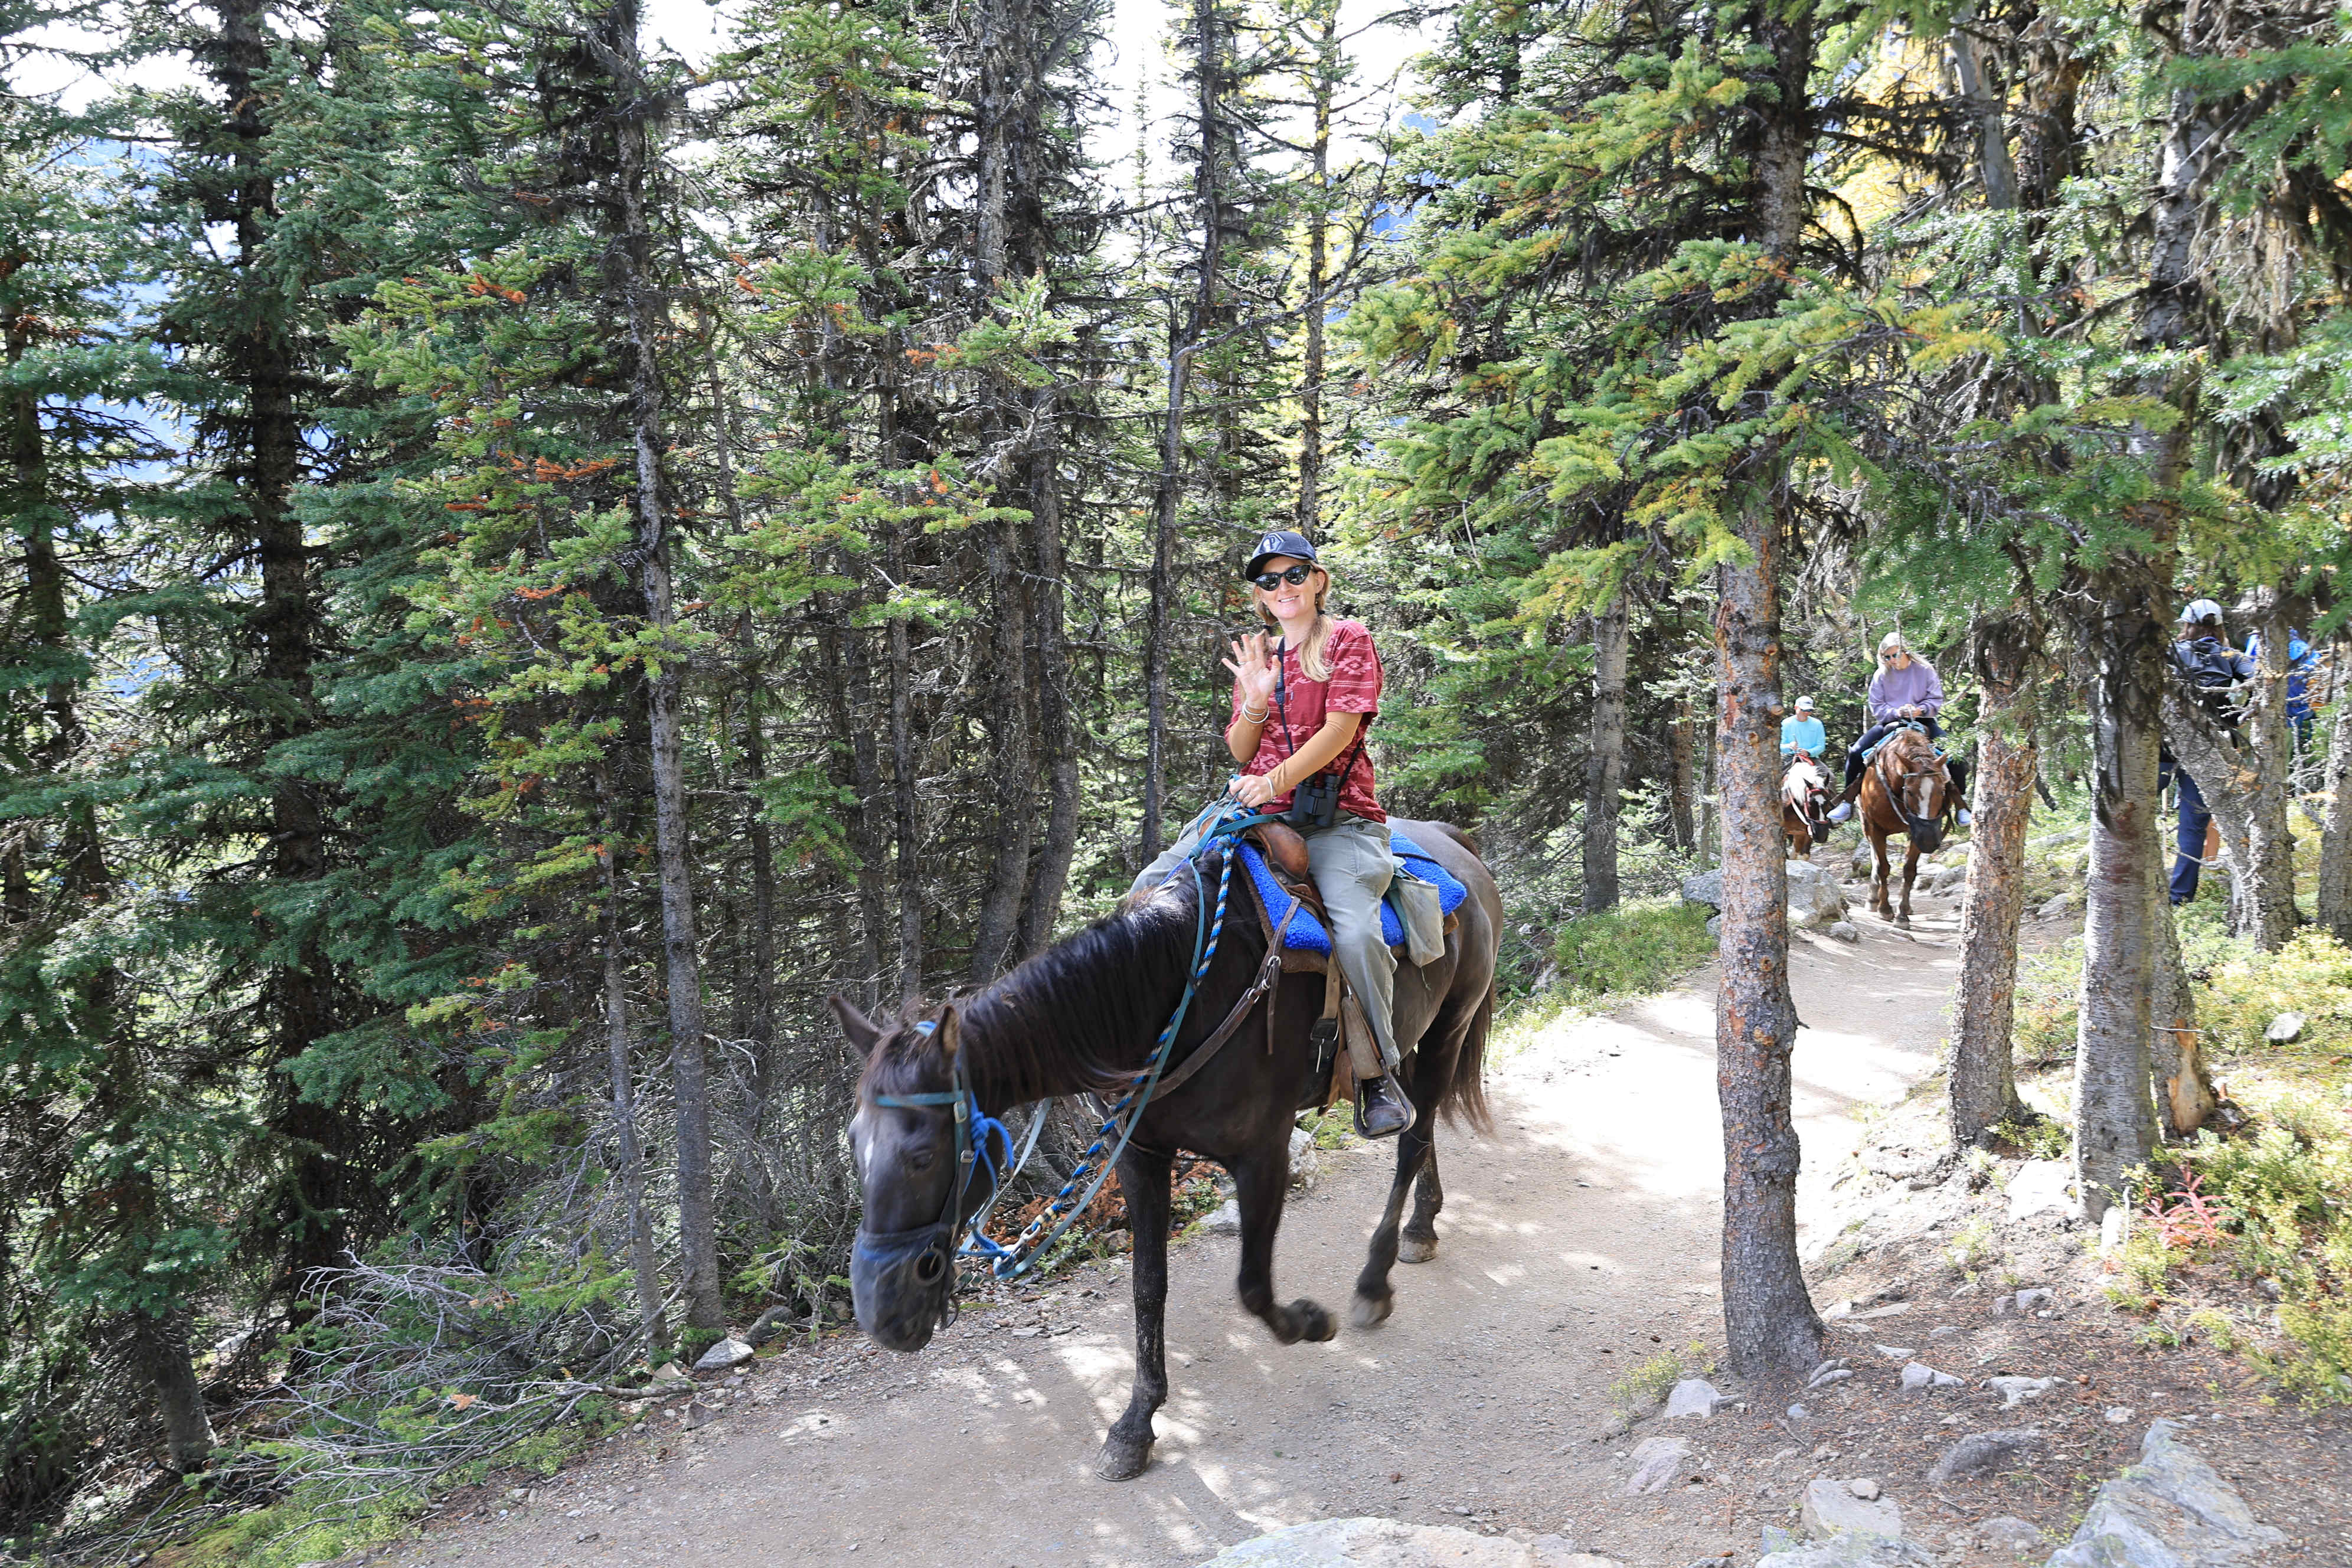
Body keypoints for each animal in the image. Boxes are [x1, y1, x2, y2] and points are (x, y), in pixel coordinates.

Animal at [832, 822, 1486, 1485]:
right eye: (854, 1146)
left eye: (921, 1155)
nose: (880, 1311)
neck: (1174, 996)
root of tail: (1454, 843)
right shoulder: (1141, 1153)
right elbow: (1149, 1288)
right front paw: (1134, 1425)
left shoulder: (1263, 1154)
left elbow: (1253, 1285)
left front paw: (1311, 1321)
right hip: (1411, 1044)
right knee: (1421, 1132)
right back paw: (1421, 1229)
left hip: (1446, 1033)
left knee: (1410, 1144)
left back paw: (1375, 1282)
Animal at [1853, 729, 1947, 926]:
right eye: (1910, 791)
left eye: (1943, 790)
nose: (1929, 841)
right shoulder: (1876, 829)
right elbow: (1883, 867)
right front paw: (1885, 909)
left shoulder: (1917, 831)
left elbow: (1909, 870)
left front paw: (1902, 914)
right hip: (1866, 825)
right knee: (1874, 859)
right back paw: (1873, 899)